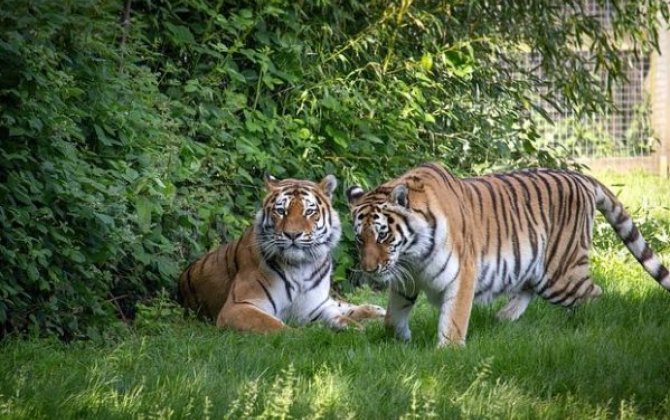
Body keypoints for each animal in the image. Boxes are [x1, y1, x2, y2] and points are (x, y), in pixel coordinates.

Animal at [177, 173, 388, 332]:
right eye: (281, 211)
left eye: (309, 211)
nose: (292, 234)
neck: (300, 267)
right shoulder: (237, 307)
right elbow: (276, 326)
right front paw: (300, 336)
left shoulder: (315, 307)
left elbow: (342, 318)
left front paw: (357, 329)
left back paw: (378, 311)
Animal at [346, 162, 670, 346]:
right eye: (360, 239)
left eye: (383, 235)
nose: (369, 270)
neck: (411, 255)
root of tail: (581, 178)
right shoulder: (408, 277)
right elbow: (392, 317)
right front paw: (401, 341)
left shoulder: (462, 273)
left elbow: (453, 320)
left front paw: (447, 352)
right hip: (535, 265)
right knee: (529, 287)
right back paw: (505, 317)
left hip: (560, 272)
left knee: (595, 295)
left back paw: (586, 327)